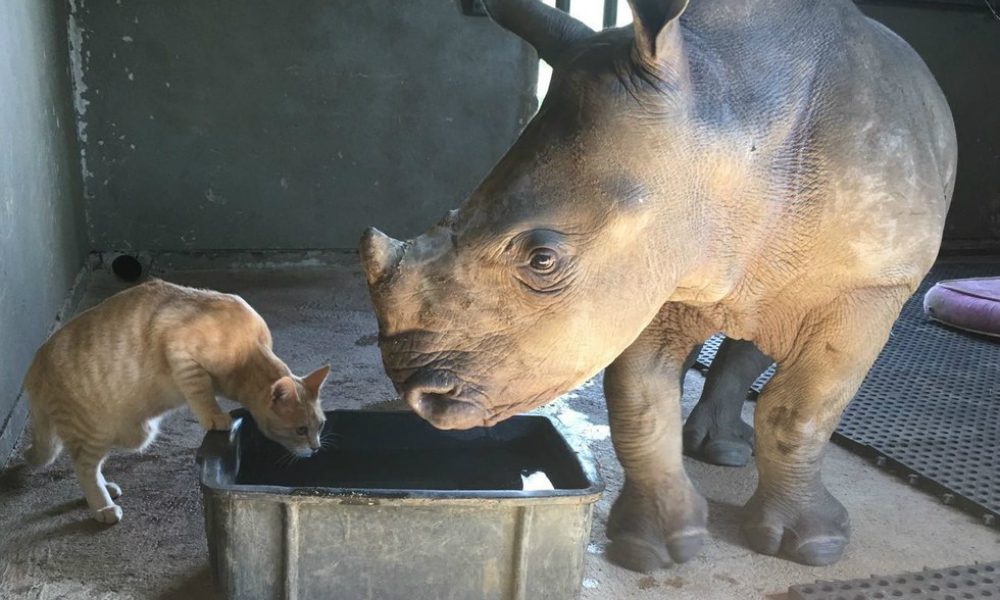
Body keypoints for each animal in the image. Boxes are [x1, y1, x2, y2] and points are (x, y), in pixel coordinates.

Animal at [23, 278, 330, 524]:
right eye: (301, 430)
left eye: (321, 426)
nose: (316, 448)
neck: (248, 353)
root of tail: (35, 365)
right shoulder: (183, 356)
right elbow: (201, 392)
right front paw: (216, 416)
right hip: (98, 431)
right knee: (83, 466)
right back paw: (102, 507)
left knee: (90, 466)